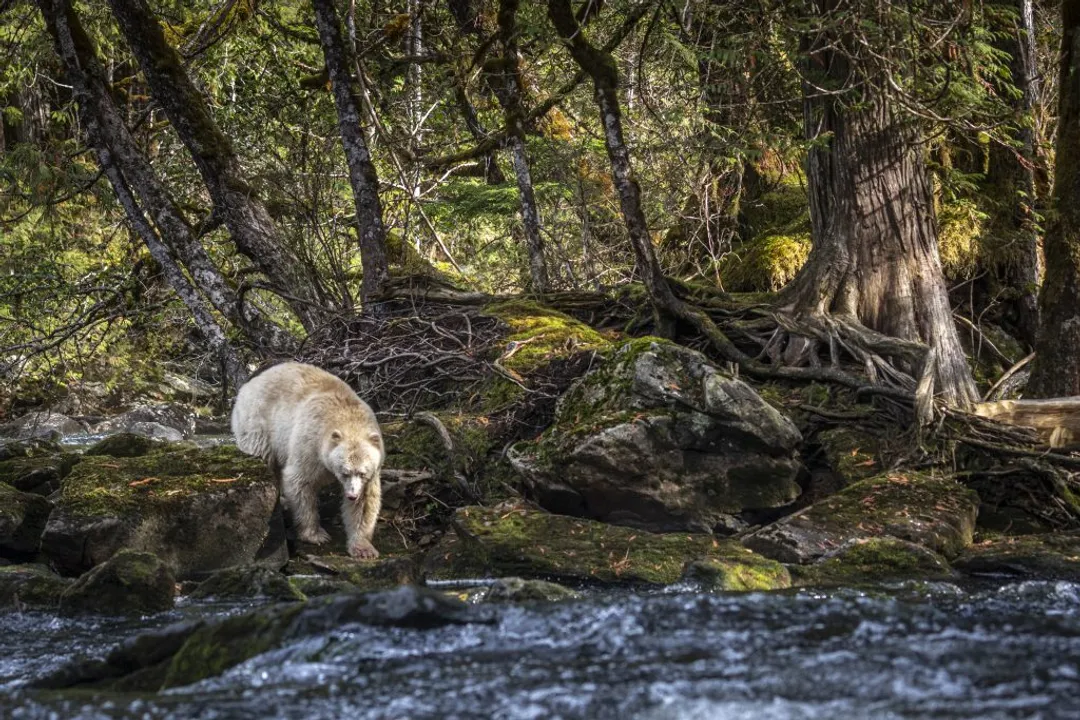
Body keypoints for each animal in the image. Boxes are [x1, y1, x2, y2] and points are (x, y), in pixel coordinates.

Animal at [231, 362, 383, 559]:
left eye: (362, 473)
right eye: (344, 472)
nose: (351, 495)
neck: (347, 417)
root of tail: (248, 385)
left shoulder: (372, 467)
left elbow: (365, 502)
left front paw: (363, 548)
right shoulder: (310, 443)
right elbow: (299, 481)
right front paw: (315, 535)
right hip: (258, 422)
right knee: (265, 455)